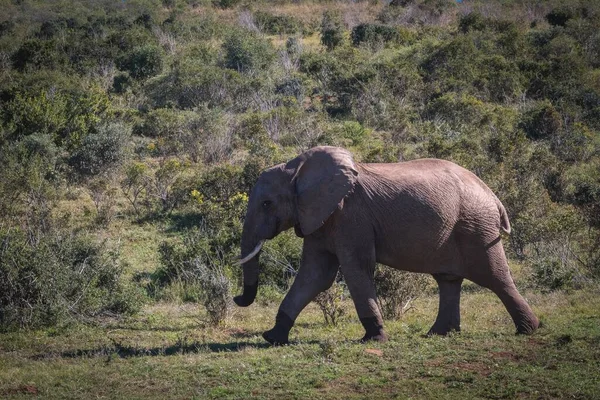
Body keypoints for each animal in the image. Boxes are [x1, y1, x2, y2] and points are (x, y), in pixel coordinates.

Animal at [233, 145, 540, 346]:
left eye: (266, 204)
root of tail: (493, 194)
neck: (296, 168)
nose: (237, 299)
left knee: (494, 277)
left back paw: (528, 330)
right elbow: (314, 275)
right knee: (448, 280)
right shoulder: (319, 218)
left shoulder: (350, 216)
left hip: (476, 227)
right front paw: (272, 338)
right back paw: (438, 334)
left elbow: (355, 270)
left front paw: (373, 339)